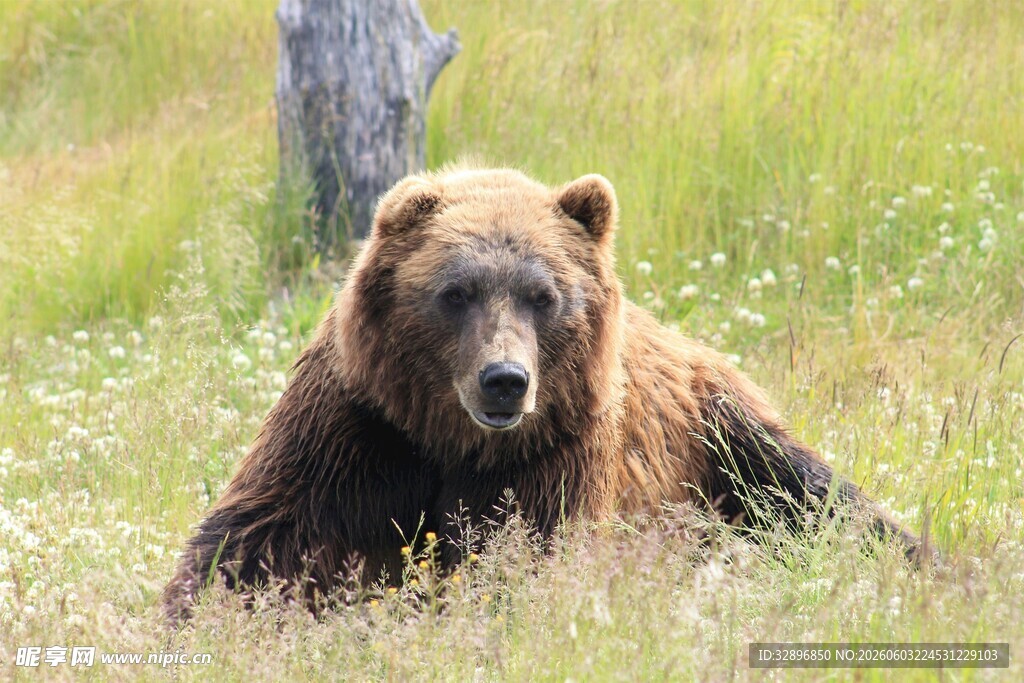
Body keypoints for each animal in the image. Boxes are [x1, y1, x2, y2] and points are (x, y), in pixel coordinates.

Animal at [163, 167, 926, 622]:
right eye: (456, 291)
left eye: (543, 295)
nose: (504, 378)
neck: (452, 440)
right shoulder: (360, 429)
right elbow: (261, 537)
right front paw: (199, 614)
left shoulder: (554, 452)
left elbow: (522, 558)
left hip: (721, 435)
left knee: (818, 498)